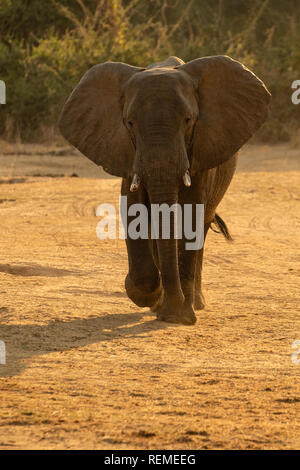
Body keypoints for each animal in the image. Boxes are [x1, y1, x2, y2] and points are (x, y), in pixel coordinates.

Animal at [59, 55, 270, 324]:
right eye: (129, 123)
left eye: (188, 120)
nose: (174, 303)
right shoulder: (126, 153)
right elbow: (135, 210)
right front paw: (151, 297)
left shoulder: (201, 151)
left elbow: (191, 216)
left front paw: (179, 317)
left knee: (201, 227)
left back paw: (194, 303)